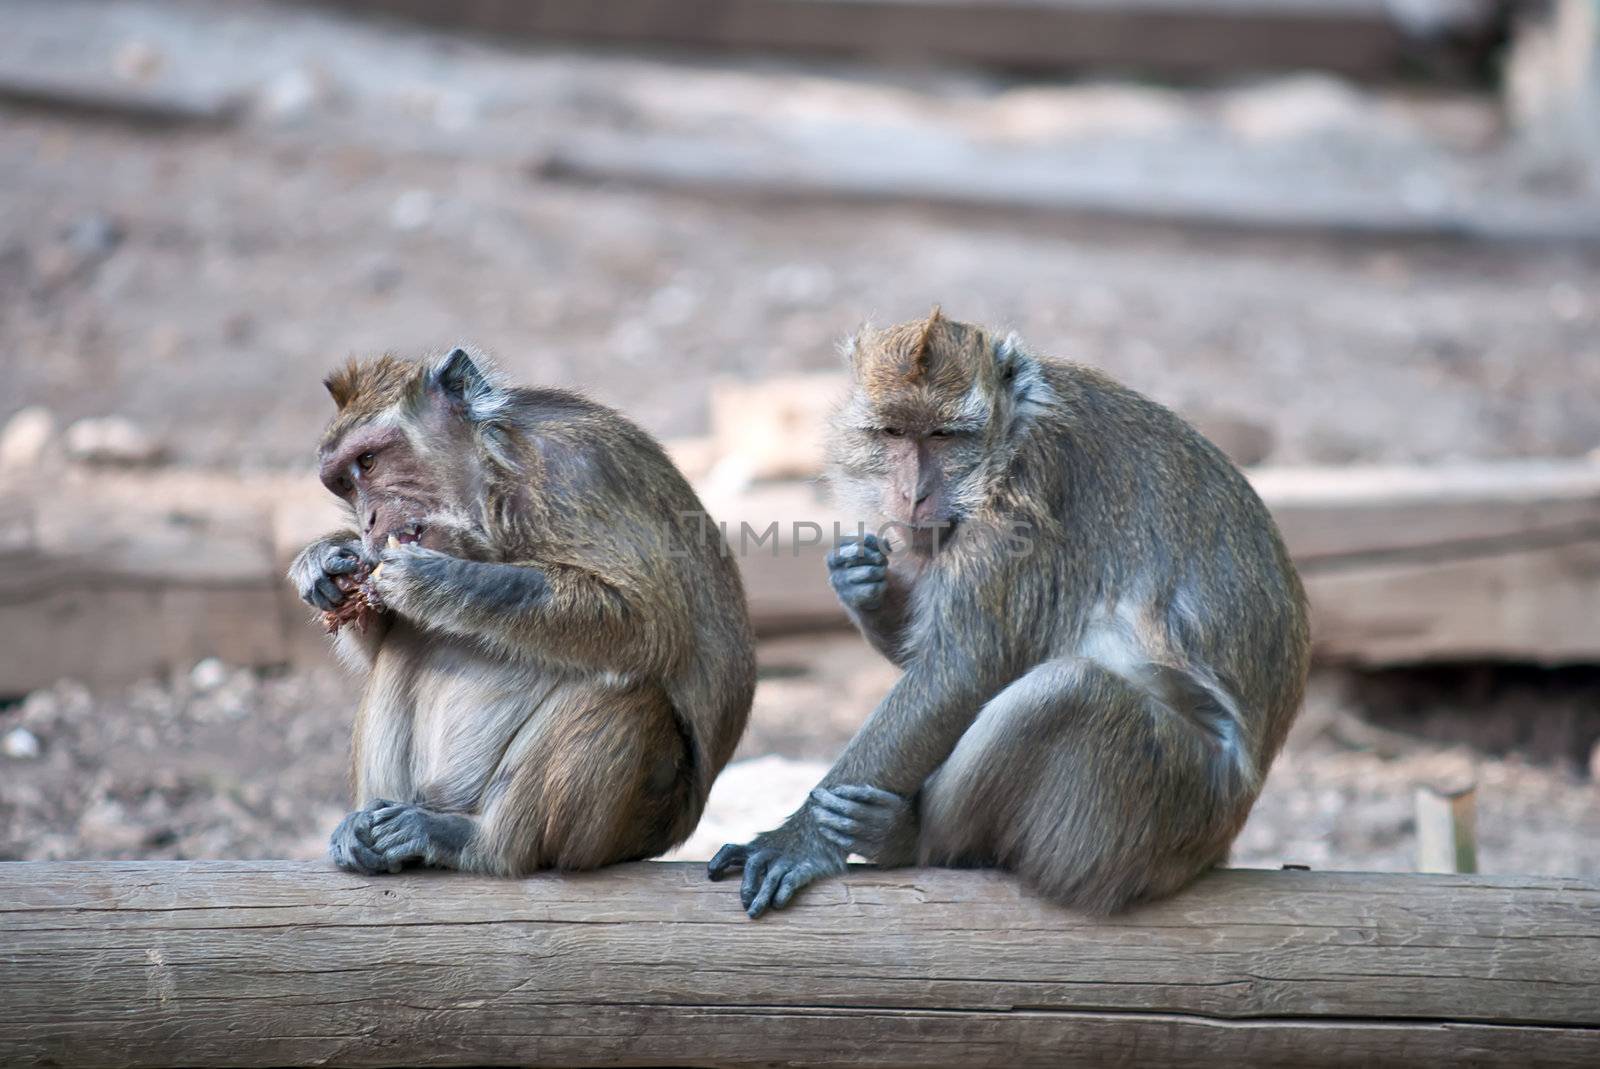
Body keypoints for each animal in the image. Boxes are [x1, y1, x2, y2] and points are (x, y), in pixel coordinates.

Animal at [289, 350, 755, 876]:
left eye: (368, 461)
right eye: (343, 485)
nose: (367, 522)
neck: (495, 482)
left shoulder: (575, 473)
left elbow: (649, 626)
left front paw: (435, 579)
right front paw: (325, 561)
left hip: (636, 823)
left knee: (626, 693)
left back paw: (479, 842)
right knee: (406, 643)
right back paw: (365, 828)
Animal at [707, 308, 1305, 921]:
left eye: (945, 436)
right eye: (893, 433)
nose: (914, 494)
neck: (1009, 435)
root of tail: (1221, 840)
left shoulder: (1023, 502)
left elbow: (964, 671)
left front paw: (797, 840)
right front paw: (861, 583)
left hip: (1156, 814)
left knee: (1064, 692)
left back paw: (911, 839)